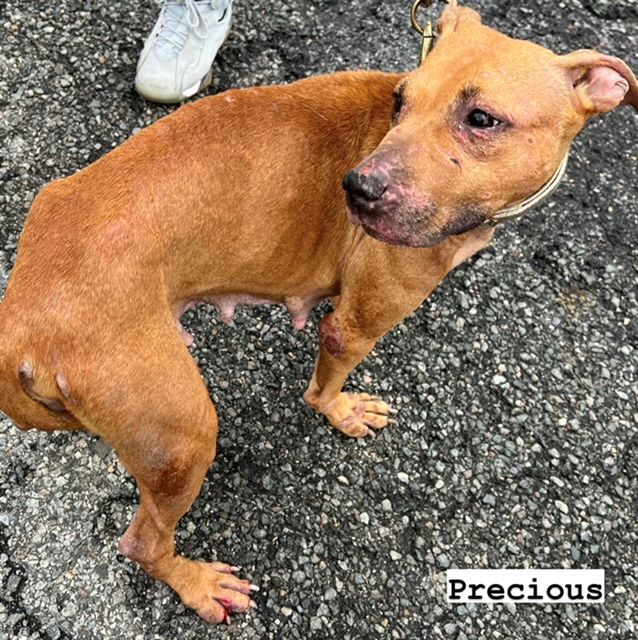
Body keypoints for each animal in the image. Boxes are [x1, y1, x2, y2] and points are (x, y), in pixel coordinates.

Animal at [0, 0, 636, 624]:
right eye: (402, 101)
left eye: (482, 119)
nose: (357, 187)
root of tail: (18, 323)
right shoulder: (353, 325)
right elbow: (325, 385)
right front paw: (340, 410)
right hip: (184, 436)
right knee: (143, 542)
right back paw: (196, 584)